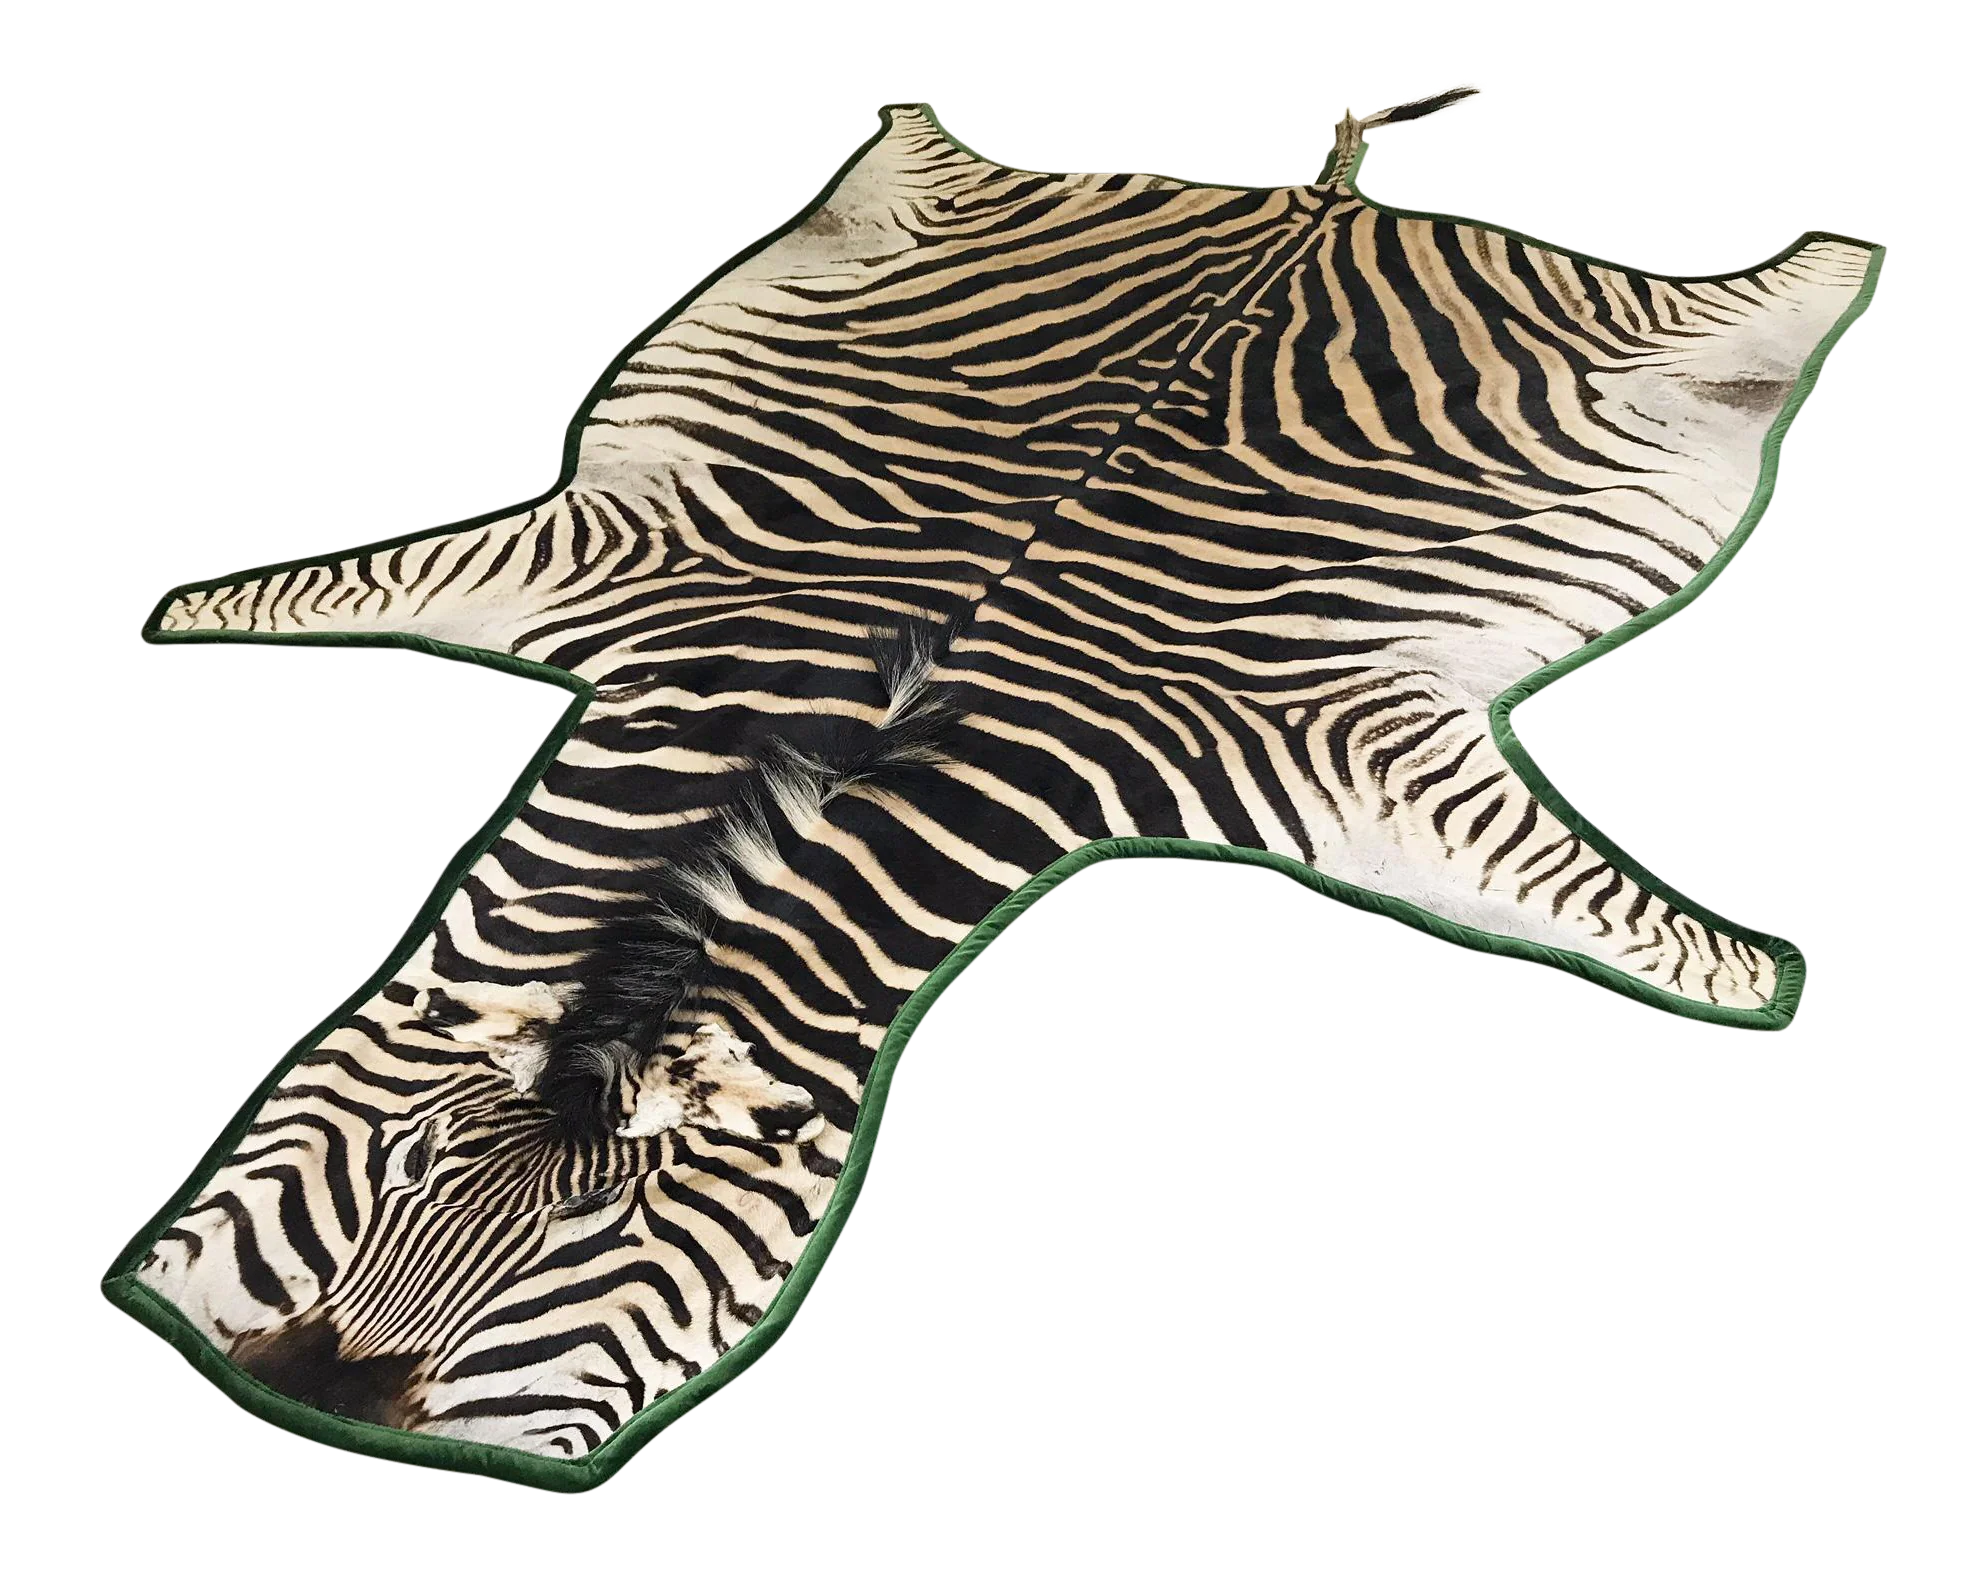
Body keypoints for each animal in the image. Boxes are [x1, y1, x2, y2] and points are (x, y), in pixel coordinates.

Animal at [106, 86, 1884, 1481]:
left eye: (597, 1242)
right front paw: (188, 609)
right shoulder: (630, 560)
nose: (316, 1403)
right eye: (397, 1172)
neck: (836, 735)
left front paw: (1751, 977)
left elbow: (1597, 903)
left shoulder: (1319, 750)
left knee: (1801, 288)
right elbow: (329, 584)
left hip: (1689, 340)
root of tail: (1320, 199)